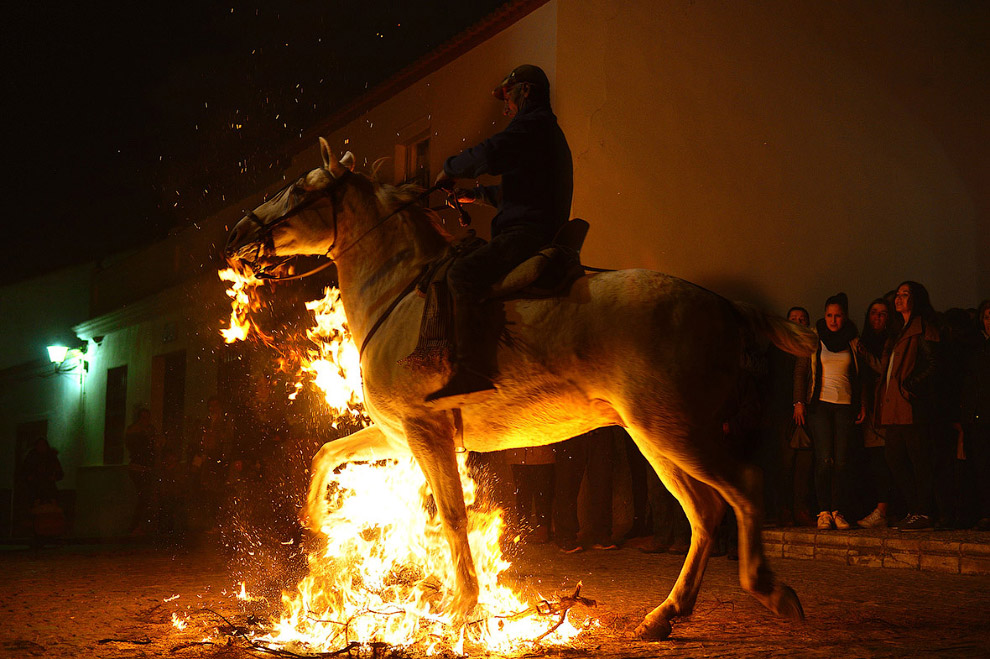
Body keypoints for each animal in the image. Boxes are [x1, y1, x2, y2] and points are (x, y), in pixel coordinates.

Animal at [229, 138, 816, 640]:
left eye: (300, 189)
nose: (238, 234)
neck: (399, 293)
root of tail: (722, 304)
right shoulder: (399, 436)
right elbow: (327, 453)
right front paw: (322, 521)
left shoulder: (427, 431)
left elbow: (453, 516)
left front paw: (461, 606)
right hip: (657, 439)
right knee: (706, 513)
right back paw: (666, 614)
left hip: (677, 432)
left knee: (745, 488)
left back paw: (770, 590)